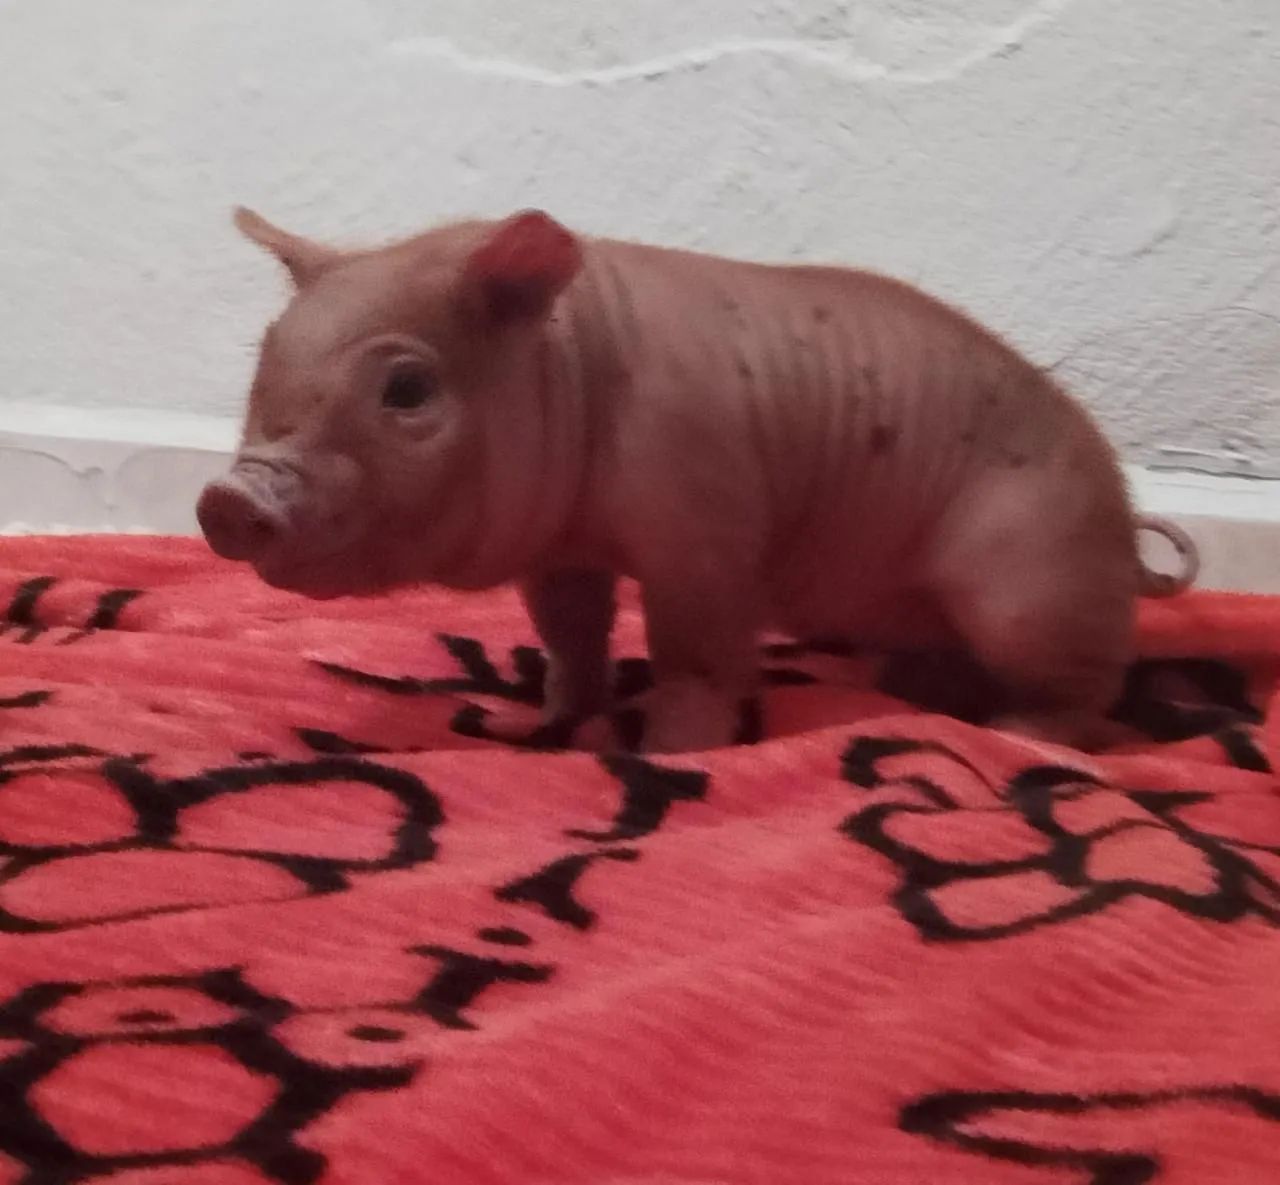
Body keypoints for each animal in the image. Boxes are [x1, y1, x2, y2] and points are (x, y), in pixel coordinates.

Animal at [197, 206, 1199, 754]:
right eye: (265, 356)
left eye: (406, 387)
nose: (226, 499)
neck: (580, 373)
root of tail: (1125, 536)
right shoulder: (561, 551)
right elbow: (570, 634)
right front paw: (544, 725)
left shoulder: (708, 531)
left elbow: (696, 654)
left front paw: (668, 752)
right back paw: (910, 689)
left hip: (1033, 583)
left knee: (1090, 694)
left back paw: (1016, 738)